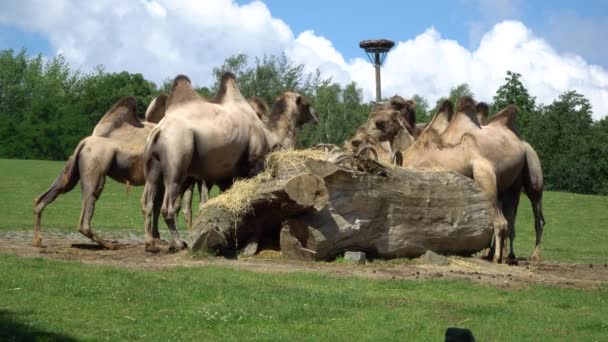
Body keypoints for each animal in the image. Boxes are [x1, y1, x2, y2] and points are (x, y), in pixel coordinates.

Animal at [32, 93, 167, 248]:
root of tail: (85, 142)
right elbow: (161, 205)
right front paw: (158, 239)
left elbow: (157, 205)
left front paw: (157, 237)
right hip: (95, 166)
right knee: (88, 206)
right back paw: (110, 244)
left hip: (71, 168)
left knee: (47, 195)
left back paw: (38, 240)